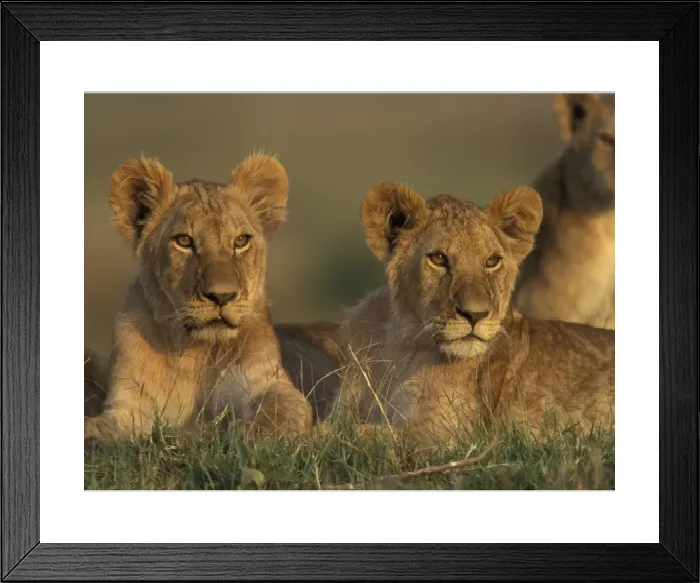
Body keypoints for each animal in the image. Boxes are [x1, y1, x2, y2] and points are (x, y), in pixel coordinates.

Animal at [84, 153, 313, 443]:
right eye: (184, 241)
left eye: (241, 240)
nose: (222, 296)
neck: (197, 351)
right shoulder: (129, 407)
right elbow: (100, 427)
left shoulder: (268, 381)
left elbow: (284, 410)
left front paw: (251, 433)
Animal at [329, 181, 615, 448]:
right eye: (438, 258)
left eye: (492, 261)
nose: (474, 315)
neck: (401, 343)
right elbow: (334, 429)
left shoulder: (445, 436)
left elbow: (354, 435)